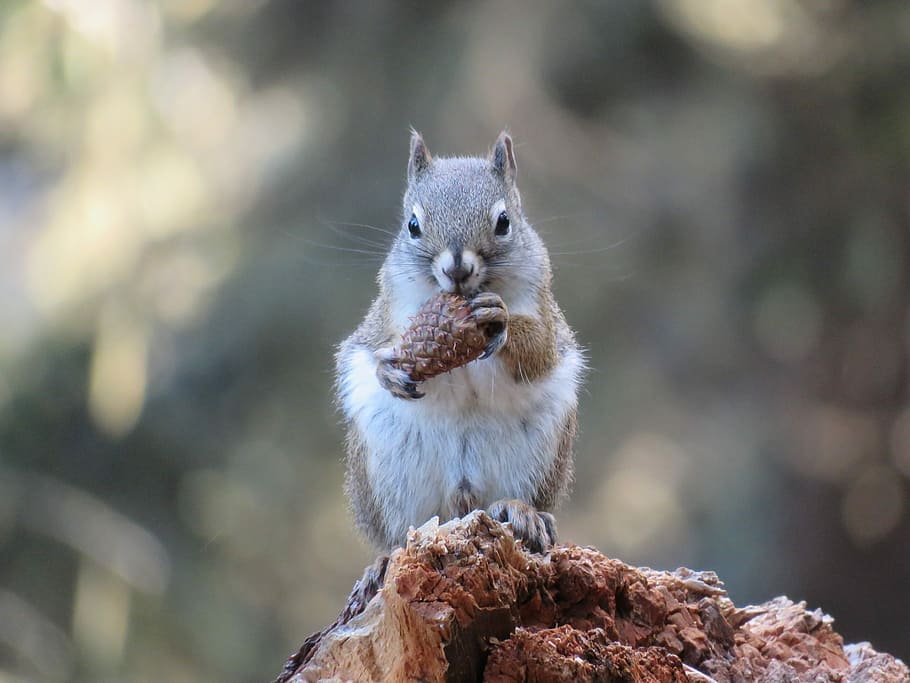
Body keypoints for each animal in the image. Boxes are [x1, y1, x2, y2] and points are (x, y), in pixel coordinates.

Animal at [335, 130, 584, 553]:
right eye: (412, 225)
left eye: (504, 222)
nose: (457, 268)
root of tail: (462, 501)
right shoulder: (386, 315)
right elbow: (369, 345)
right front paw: (388, 370)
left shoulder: (544, 311)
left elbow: (540, 353)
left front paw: (500, 320)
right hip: (387, 469)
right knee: (400, 531)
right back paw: (386, 556)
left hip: (541, 452)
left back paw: (523, 511)